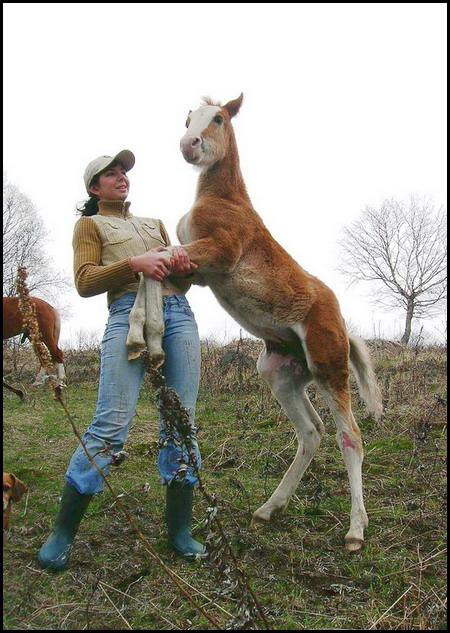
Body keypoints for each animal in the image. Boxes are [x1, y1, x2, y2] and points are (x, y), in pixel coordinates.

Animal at [128, 92, 382, 548]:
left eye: (219, 118)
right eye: (188, 119)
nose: (189, 145)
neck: (224, 199)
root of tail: (341, 323)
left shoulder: (219, 253)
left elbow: (156, 262)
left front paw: (147, 338)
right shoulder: (193, 272)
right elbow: (152, 267)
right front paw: (144, 341)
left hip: (328, 364)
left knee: (349, 436)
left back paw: (355, 530)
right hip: (280, 372)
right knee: (311, 432)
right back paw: (268, 509)